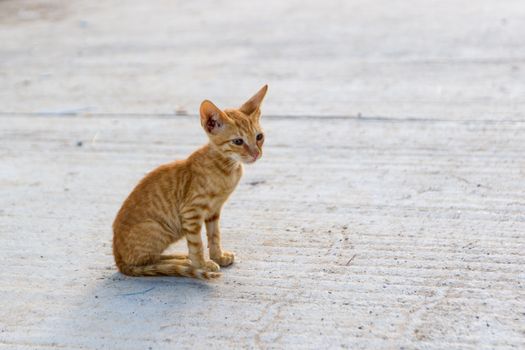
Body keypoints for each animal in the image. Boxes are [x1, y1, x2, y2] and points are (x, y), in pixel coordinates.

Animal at [110, 84, 266, 278]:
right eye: (238, 141)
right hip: (158, 228)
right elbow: (197, 244)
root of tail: (117, 258)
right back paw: (184, 263)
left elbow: (214, 236)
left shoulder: (214, 211)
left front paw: (218, 256)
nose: (256, 154)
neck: (227, 167)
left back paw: (181, 259)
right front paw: (203, 265)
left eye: (259, 137)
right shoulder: (191, 212)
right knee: (146, 262)